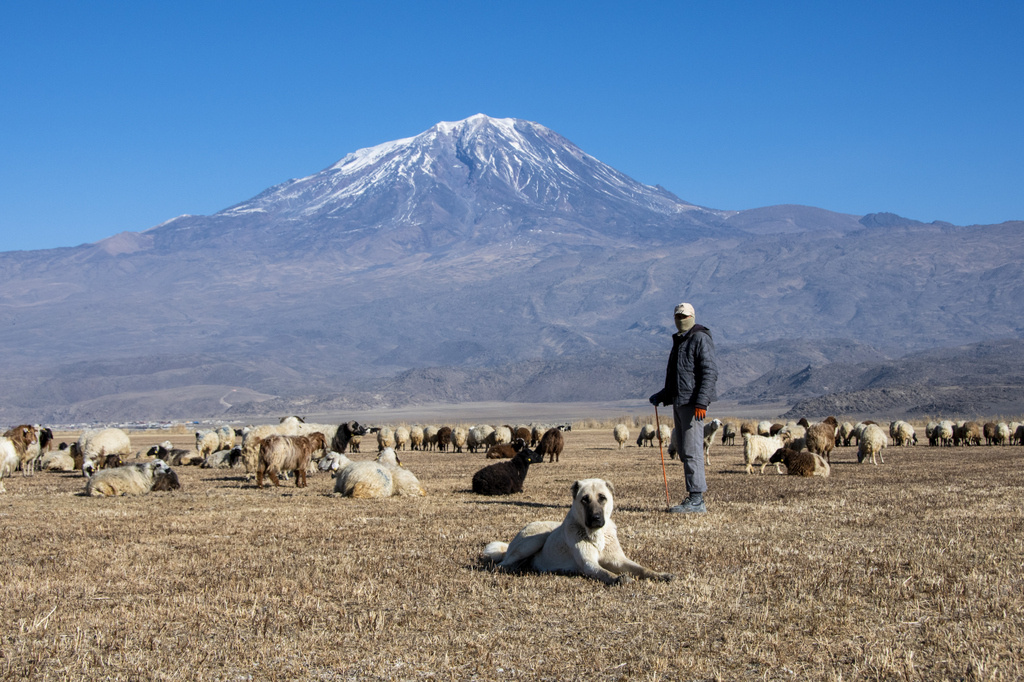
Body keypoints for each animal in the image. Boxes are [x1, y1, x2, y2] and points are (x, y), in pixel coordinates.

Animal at [483, 477, 675, 585]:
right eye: (584, 499)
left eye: (602, 498)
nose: (596, 518)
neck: (597, 535)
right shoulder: (589, 564)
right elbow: (605, 572)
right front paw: (618, 578)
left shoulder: (619, 560)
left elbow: (642, 569)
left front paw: (660, 575)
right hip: (534, 540)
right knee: (500, 565)